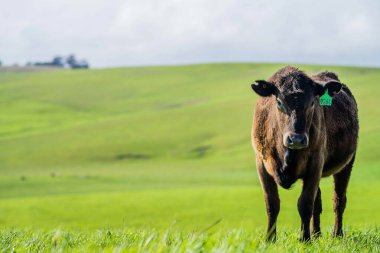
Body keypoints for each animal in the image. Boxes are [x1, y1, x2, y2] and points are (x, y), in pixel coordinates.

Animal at [251, 66, 358, 242]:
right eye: (279, 102)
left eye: (313, 102)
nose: (296, 139)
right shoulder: (261, 163)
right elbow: (272, 204)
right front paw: (270, 239)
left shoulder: (315, 163)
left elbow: (305, 203)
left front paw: (305, 239)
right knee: (318, 201)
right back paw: (317, 234)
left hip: (347, 164)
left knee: (339, 200)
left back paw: (336, 234)